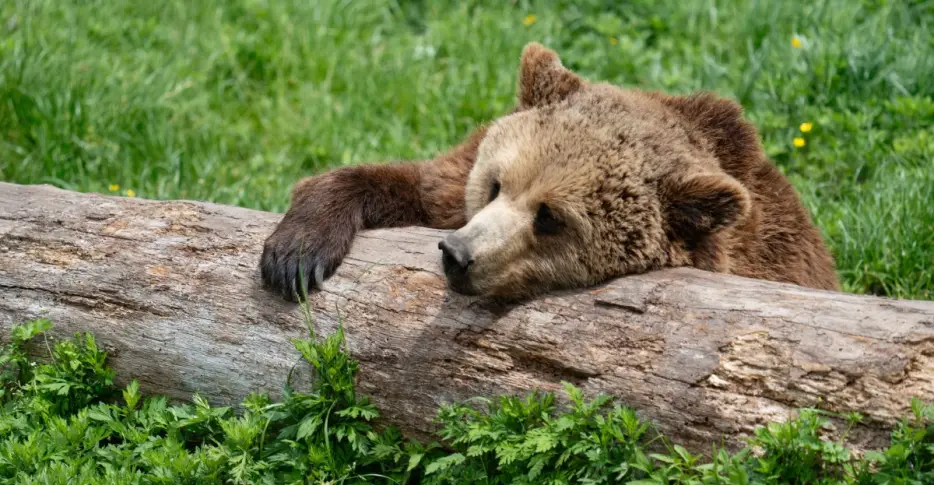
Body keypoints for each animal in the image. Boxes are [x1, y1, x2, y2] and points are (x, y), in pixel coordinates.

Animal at [260, 42, 839, 301]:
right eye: (496, 184)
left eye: (551, 218)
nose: (457, 253)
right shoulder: (455, 183)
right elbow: (408, 184)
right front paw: (295, 257)